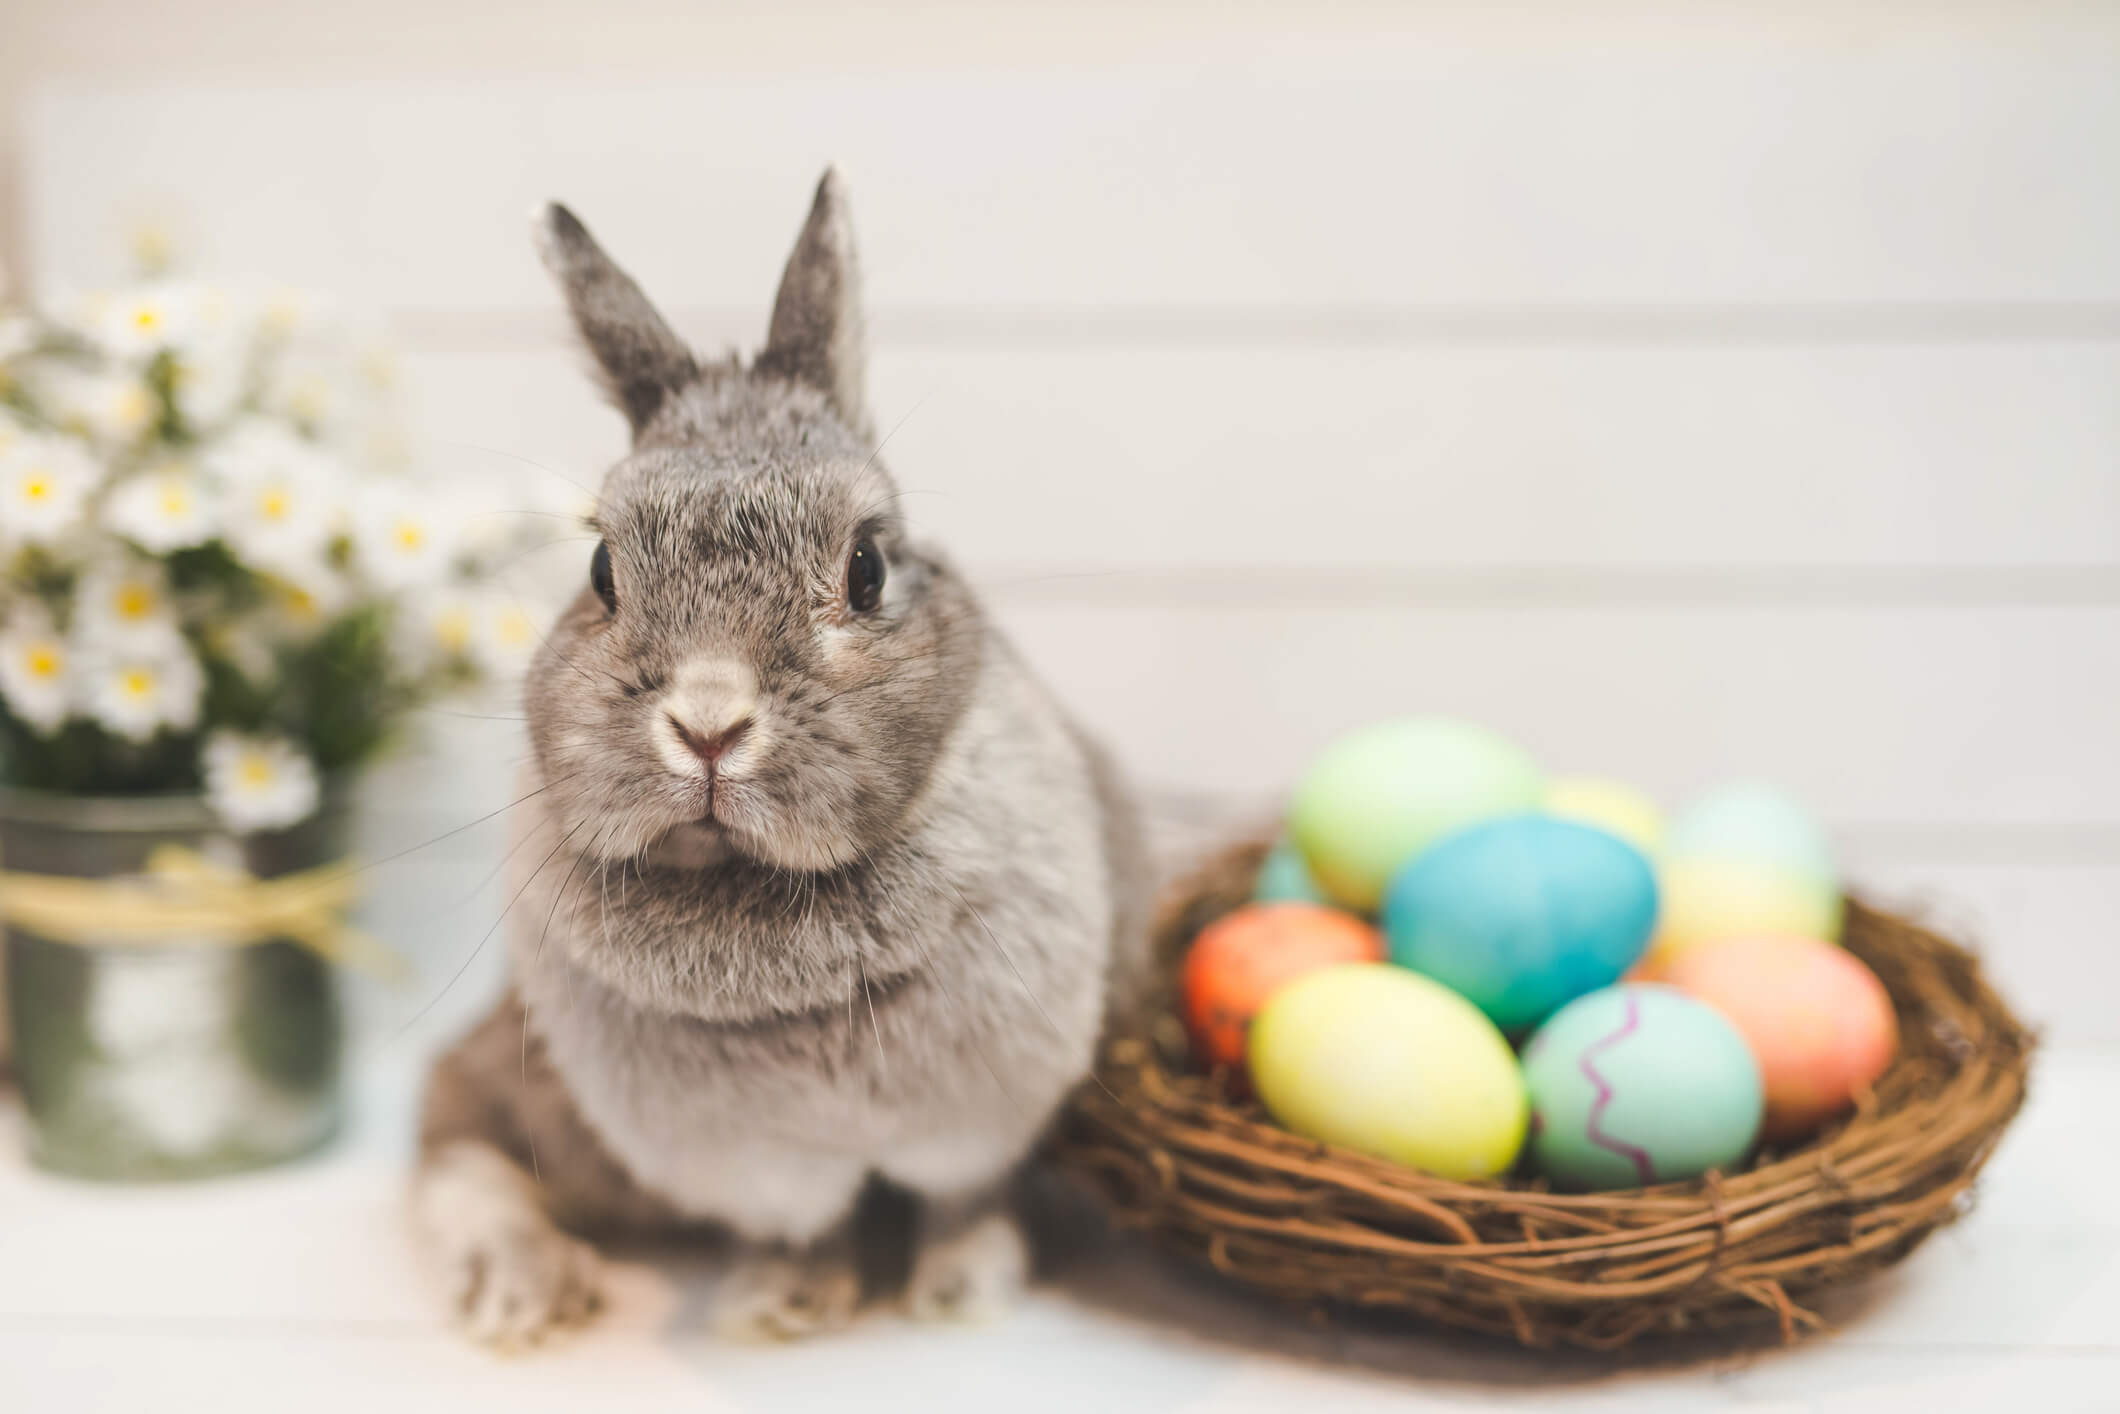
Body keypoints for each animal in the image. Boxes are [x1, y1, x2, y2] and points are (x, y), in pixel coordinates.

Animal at [407, 177, 1153, 1348]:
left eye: (867, 566)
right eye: (600, 569)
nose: (709, 726)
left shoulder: (981, 1124)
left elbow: (964, 1199)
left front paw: (957, 1291)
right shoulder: (759, 1170)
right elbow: (801, 1227)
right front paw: (782, 1303)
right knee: (451, 1128)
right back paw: (520, 1290)